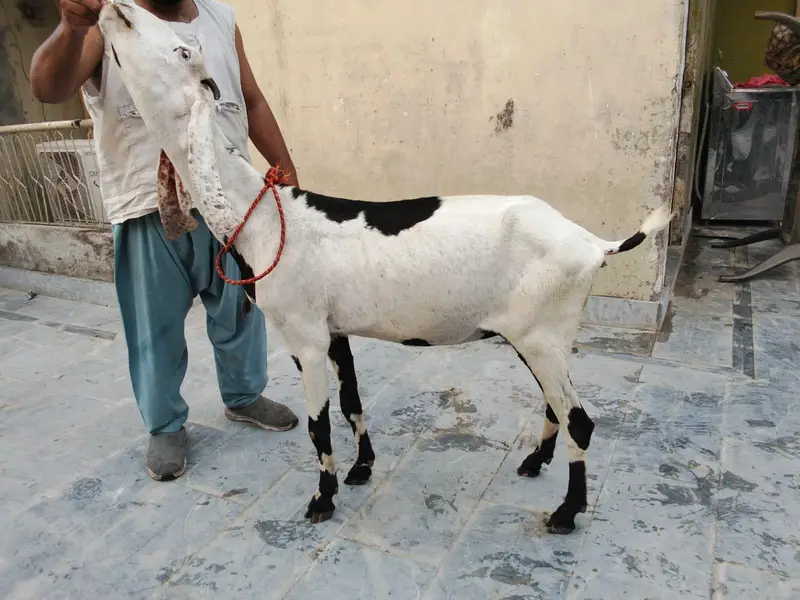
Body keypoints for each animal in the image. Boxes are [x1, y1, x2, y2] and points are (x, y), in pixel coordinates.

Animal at [99, 0, 674, 534]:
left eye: (183, 51)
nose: (115, 10)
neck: (264, 217)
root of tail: (592, 243)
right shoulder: (334, 330)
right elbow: (351, 400)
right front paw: (361, 469)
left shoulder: (305, 337)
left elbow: (319, 425)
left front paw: (322, 499)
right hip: (542, 336)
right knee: (557, 406)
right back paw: (535, 462)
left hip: (540, 333)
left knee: (581, 421)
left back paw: (567, 511)